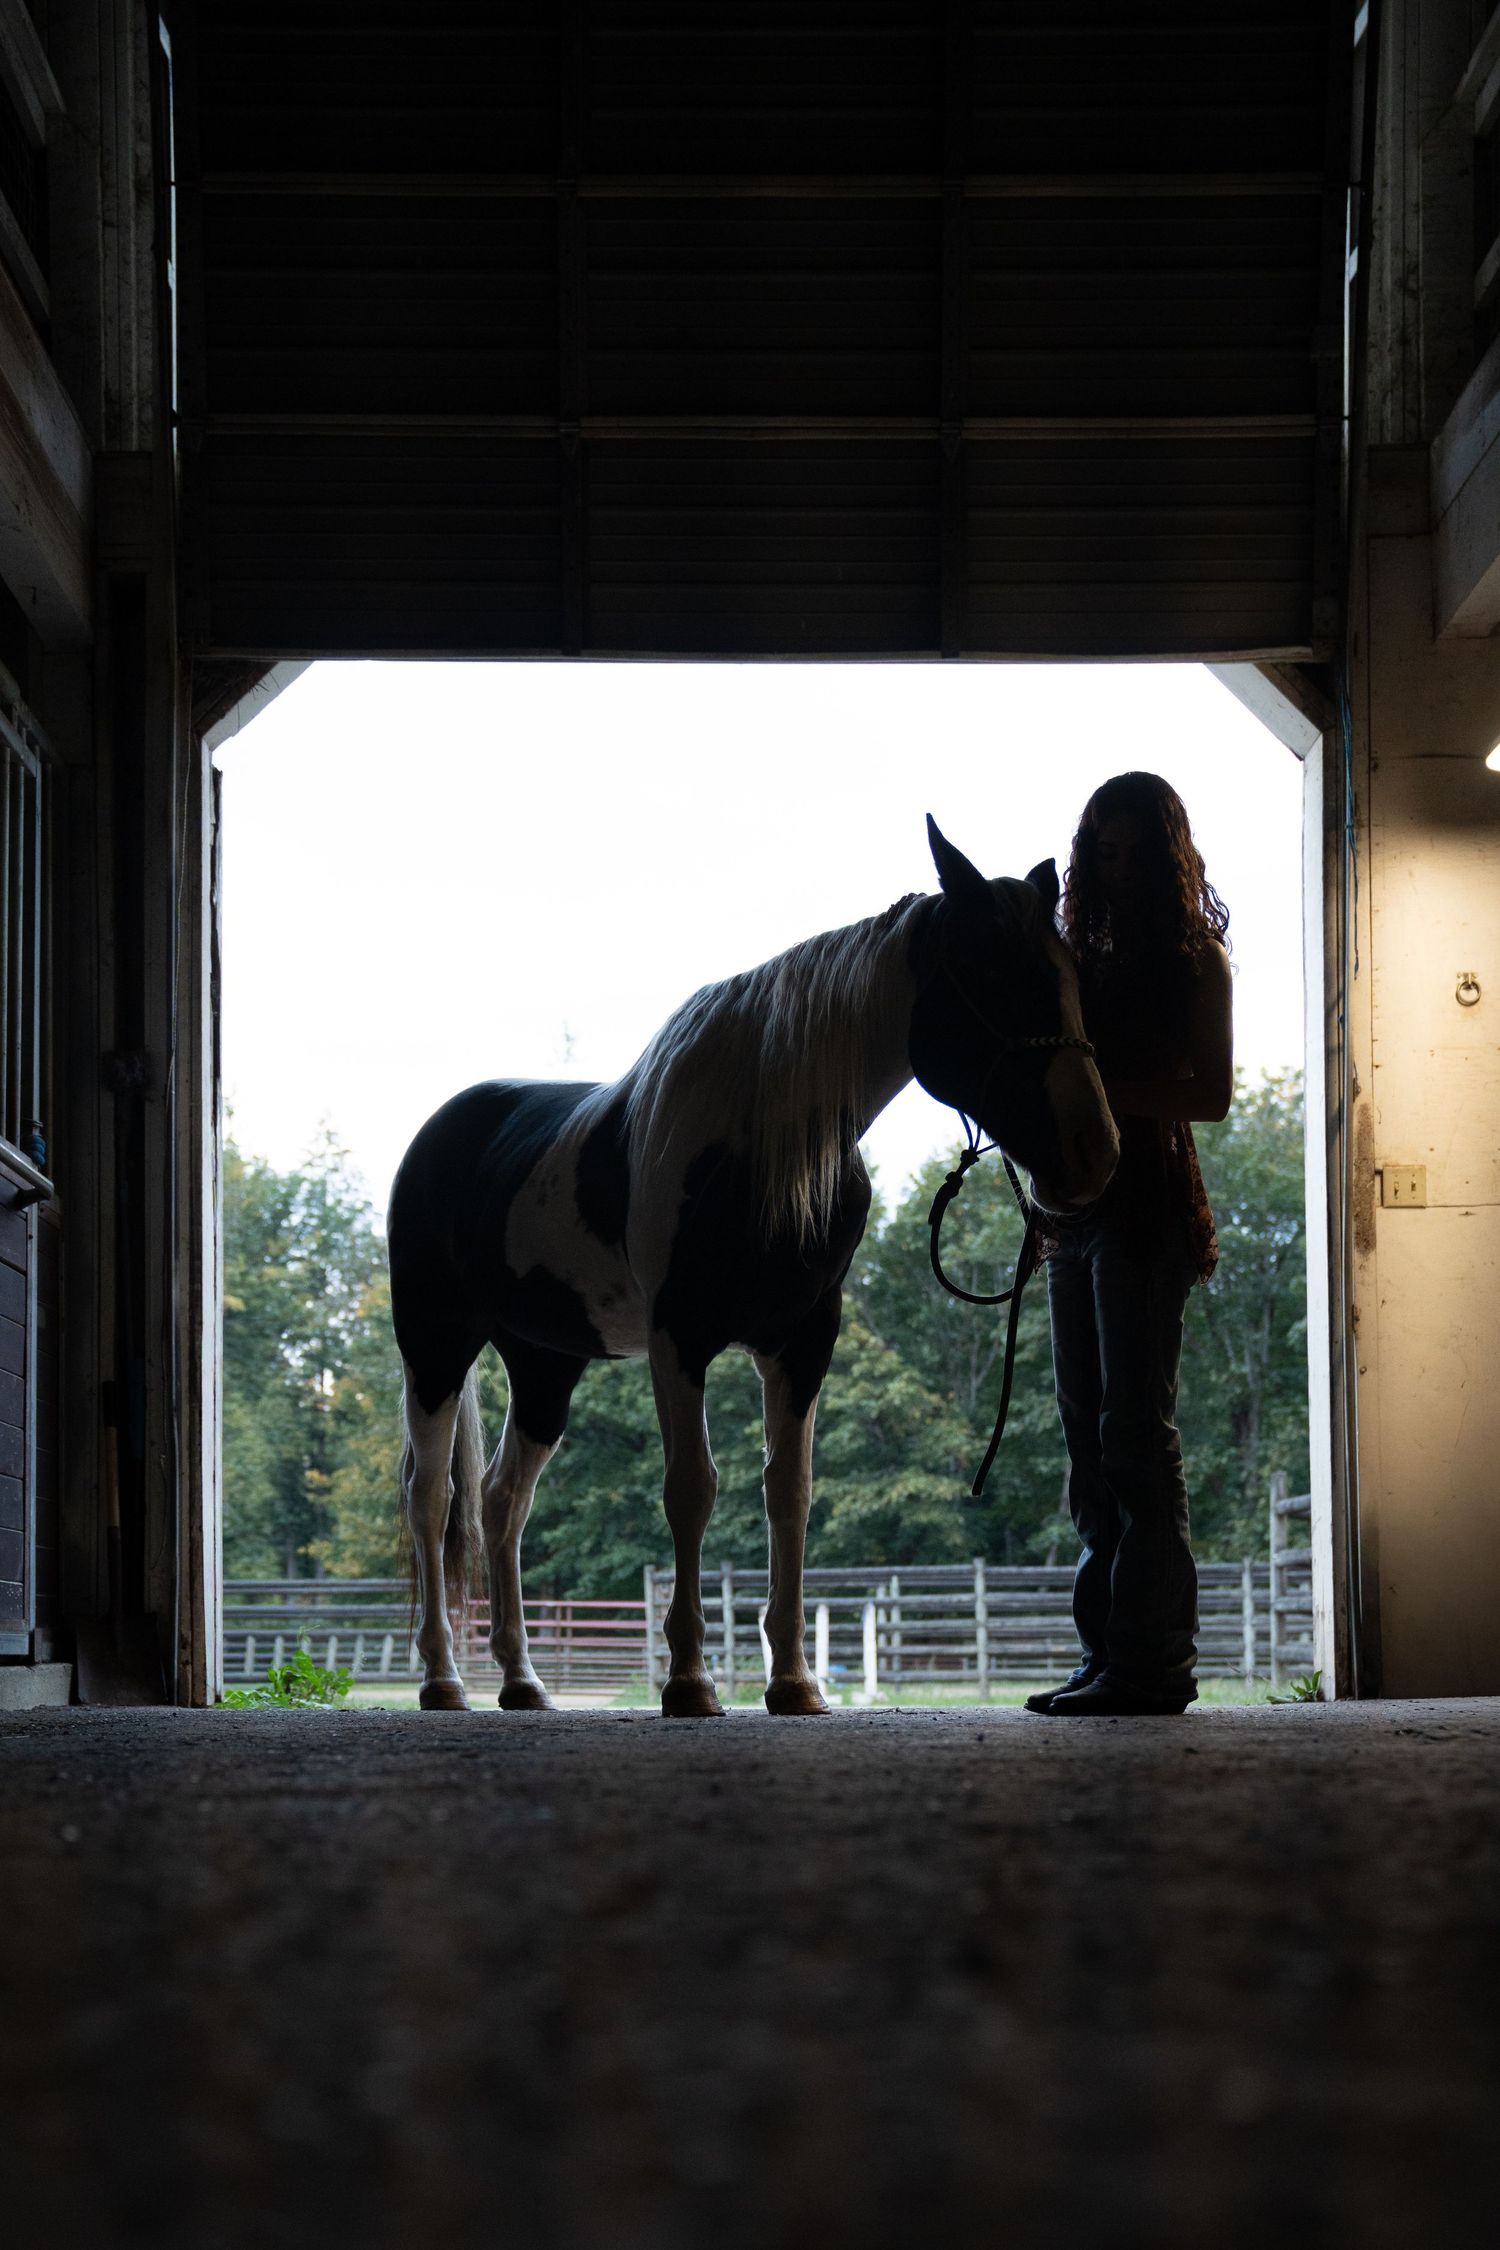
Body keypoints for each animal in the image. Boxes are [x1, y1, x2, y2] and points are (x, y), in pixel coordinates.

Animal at [387, 817, 1118, 1718]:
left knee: (500, 1503)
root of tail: (440, 1134)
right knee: (432, 1499)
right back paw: (443, 1678)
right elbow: (691, 1488)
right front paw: (690, 1680)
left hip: (545, 1364)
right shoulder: (681, 1338)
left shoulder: (802, 1341)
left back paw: (522, 1681)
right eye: (994, 973)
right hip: (436, 1345)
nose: (1096, 1154)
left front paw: (794, 1681)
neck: (754, 1137)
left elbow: (788, 1494)